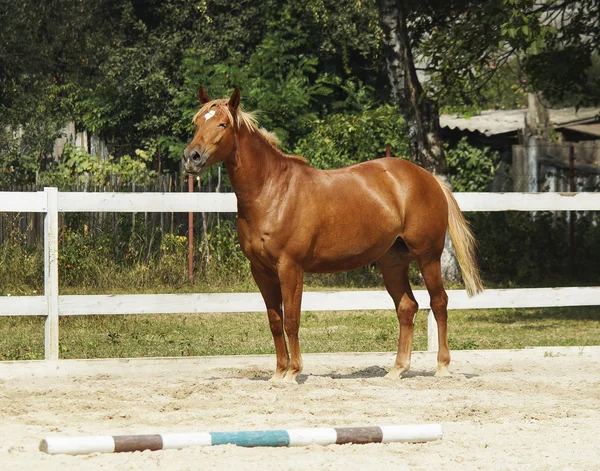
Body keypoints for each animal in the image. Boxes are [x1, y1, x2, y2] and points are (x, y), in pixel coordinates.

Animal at [183, 87, 482, 384]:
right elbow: (275, 322)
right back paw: (397, 369)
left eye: (222, 124)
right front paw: (278, 373)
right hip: (392, 261)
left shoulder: (290, 268)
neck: (272, 191)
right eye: (197, 123)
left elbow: (291, 320)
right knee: (407, 307)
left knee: (439, 302)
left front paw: (293, 373)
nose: (191, 157)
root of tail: (429, 179)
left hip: (427, 255)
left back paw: (442, 367)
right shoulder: (261, 270)